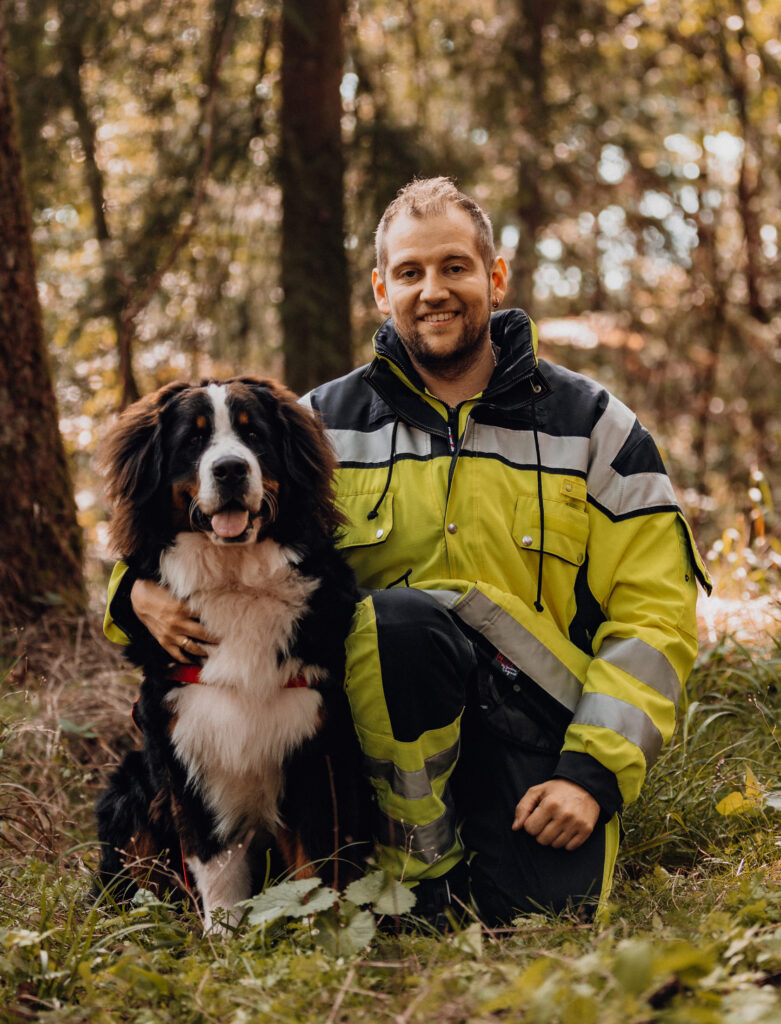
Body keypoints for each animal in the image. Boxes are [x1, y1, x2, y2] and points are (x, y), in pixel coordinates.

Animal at [94, 374, 370, 929]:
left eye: (254, 435)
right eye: (194, 440)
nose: (230, 469)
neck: (236, 580)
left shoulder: (315, 745)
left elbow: (316, 865)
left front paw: (320, 933)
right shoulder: (186, 745)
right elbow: (215, 863)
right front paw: (224, 937)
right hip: (129, 792)